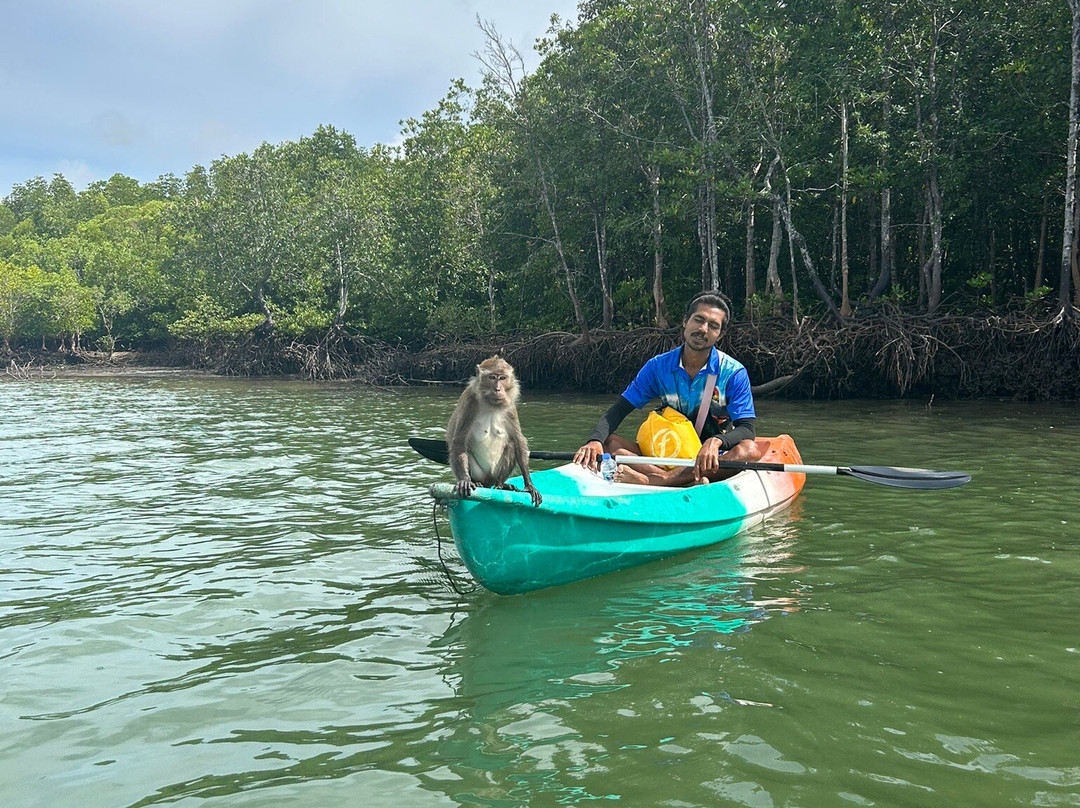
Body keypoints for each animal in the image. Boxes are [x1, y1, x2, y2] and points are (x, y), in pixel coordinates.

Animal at [442, 354, 540, 505]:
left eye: (503, 378)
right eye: (492, 377)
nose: (498, 389)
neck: (490, 404)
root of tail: (489, 482)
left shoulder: (510, 408)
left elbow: (518, 441)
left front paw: (529, 485)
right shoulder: (469, 402)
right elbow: (459, 442)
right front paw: (465, 480)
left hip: (495, 474)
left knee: (511, 445)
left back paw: (501, 485)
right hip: (480, 474)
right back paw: (477, 483)